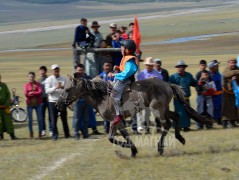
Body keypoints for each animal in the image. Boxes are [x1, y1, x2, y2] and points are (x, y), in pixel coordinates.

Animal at [56, 76, 213, 157]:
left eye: (67, 89)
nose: (58, 105)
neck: (101, 96)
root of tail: (167, 84)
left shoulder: (113, 120)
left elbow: (111, 138)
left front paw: (126, 149)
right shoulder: (119, 122)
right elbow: (125, 135)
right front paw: (133, 150)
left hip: (157, 109)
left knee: (167, 124)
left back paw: (160, 148)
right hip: (163, 109)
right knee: (176, 116)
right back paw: (180, 138)